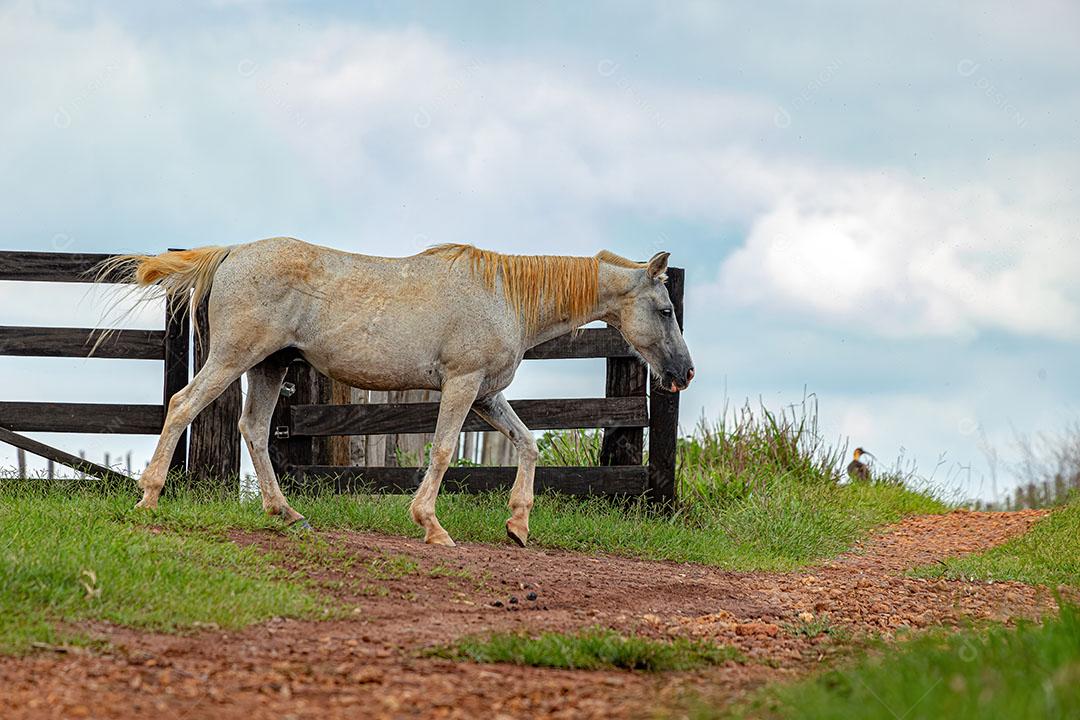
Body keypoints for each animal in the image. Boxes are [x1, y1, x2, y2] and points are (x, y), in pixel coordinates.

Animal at [97, 237, 694, 546]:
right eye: (666, 310)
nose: (685, 373)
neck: (506, 297)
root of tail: (233, 253)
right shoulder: (462, 385)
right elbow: (443, 450)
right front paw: (431, 525)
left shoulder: (486, 394)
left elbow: (528, 444)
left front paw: (519, 525)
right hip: (232, 358)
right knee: (183, 406)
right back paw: (149, 497)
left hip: (268, 366)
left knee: (255, 431)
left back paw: (287, 513)